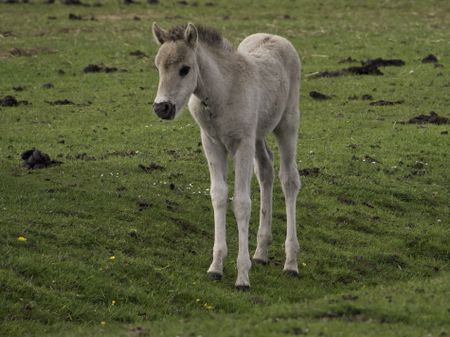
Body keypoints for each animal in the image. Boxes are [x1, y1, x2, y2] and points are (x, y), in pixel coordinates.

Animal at [152, 23, 302, 288]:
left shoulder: (242, 144)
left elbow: (241, 203)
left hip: (287, 124)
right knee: (266, 170)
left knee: (289, 180)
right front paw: (216, 266)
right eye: (157, 66)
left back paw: (291, 263)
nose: (162, 107)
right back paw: (261, 252)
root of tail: (276, 37)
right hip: (258, 135)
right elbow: (219, 195)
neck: (223, 92)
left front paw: (242, 276)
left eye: (185, 69)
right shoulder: (212, 143)